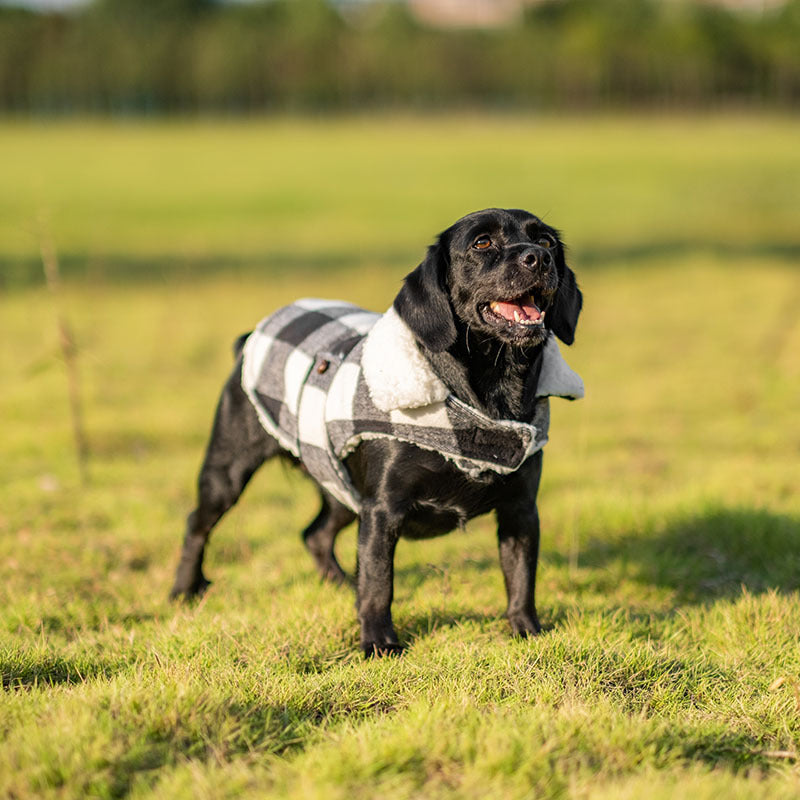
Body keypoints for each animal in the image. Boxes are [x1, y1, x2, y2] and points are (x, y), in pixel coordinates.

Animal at [170, 208, 580, 656]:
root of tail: (249, 338)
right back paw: (184, 591)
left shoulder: (520, 510)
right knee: (197, 525)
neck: (487, 400)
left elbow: (521, 578)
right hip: (229, 472)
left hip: (342, 486)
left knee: (314, 533)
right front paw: (379, 643)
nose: (538, 258)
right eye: (482, 243)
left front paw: (527, 632)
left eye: (546, 241)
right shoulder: (383, 509)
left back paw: (337, 584)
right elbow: (379, 582)